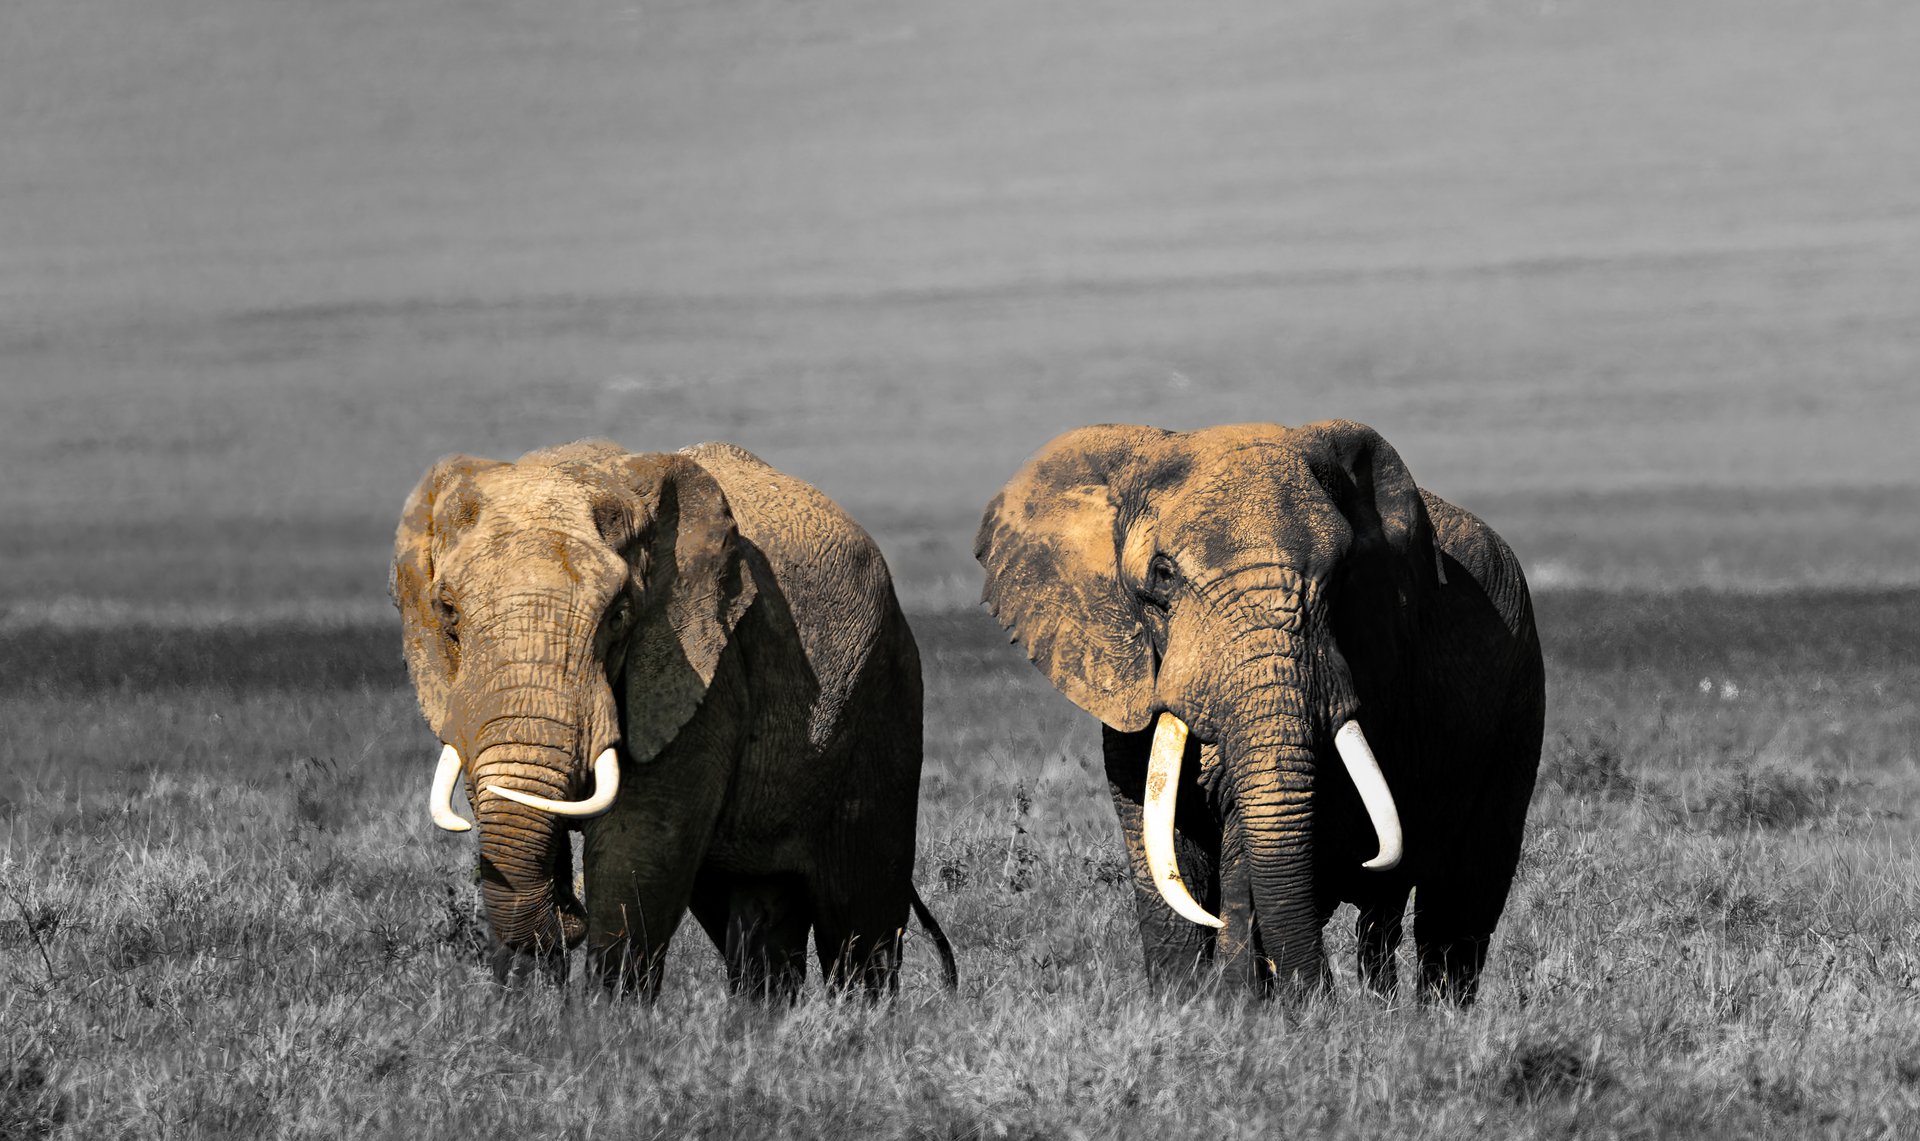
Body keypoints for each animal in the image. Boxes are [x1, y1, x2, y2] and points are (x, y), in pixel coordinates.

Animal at [393, 439, 954, 999]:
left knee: (859, 917)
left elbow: (641, 842)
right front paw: (524, 1008)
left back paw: (858, 1014)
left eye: (619, 616)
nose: (568, 916)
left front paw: (603, 1017)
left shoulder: (704, 664)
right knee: (757, 912)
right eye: (448, 612)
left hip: (884, 693)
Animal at [976, 420, 1543, 1002]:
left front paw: (1241, 1005)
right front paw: (1184, 1005)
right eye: (1163, 574)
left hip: (1519, 693)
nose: (1319, 999)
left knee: (1460, 904)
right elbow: (1158, 836)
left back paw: (1435, 1014)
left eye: (1342, 578)